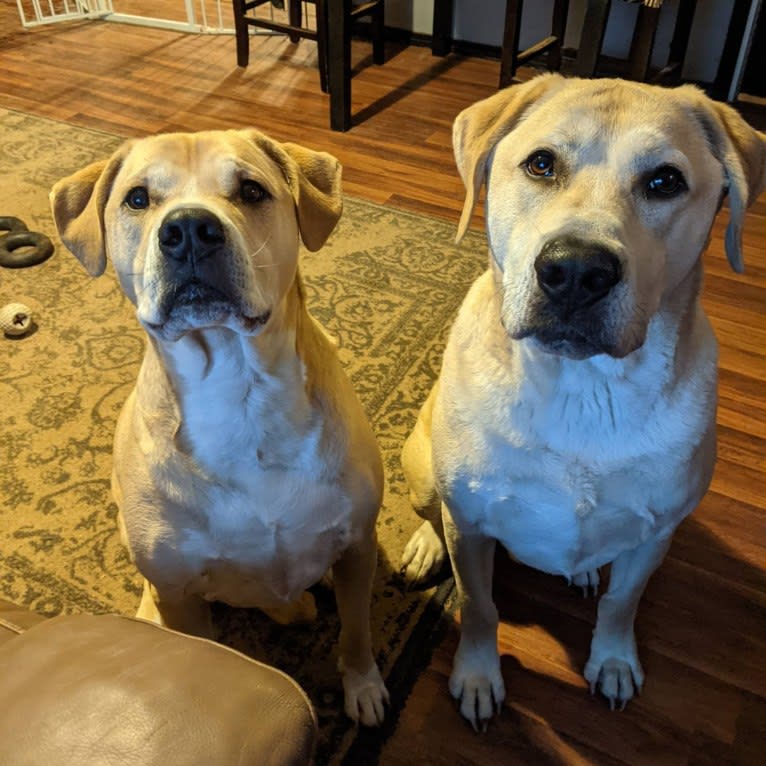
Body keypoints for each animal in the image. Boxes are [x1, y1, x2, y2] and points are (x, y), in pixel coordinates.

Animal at [49, 129, 390, 728]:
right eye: (137, 198)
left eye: (251, 190)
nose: (188, 229)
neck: (239, 392)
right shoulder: (180, 594)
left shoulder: (357, 547)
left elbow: (356, 630)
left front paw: (363, 687)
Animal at [402, 75, 766, 728]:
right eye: (541, 164)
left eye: (665, 181)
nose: (575, 270)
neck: (583, 391)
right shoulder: (470, 525)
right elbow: (478, 603)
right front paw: (477, 676)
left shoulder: (655, 535)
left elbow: (624, 602)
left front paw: (614, 662)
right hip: (422, 469)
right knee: (429, 511)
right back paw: (424, 544)